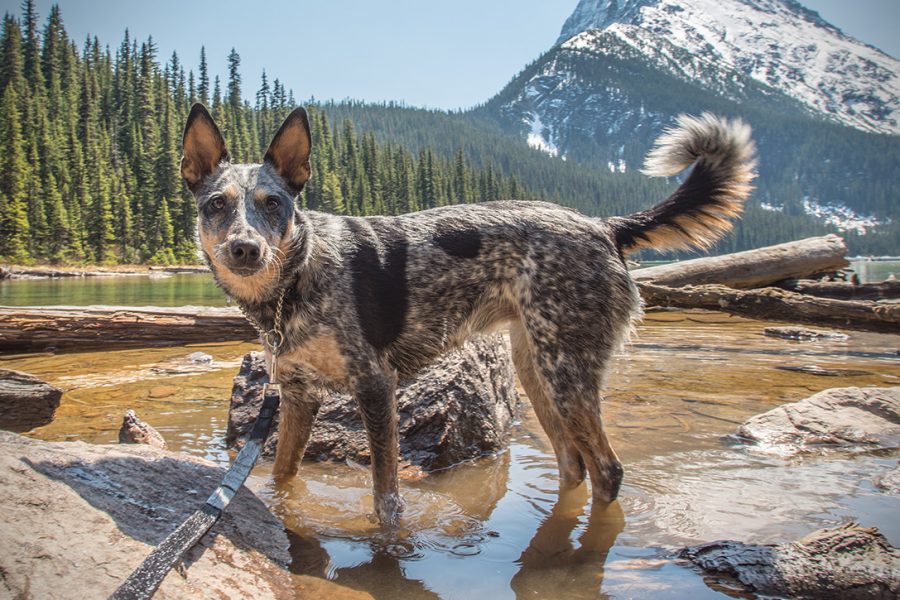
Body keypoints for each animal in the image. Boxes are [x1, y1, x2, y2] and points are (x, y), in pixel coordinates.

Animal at [179, 104, 756, 524]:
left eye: (273, 203)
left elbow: (386, 497)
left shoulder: (375, 387)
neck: (298, 279)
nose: (245, 249)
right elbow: (282, 476)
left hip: (566, 374)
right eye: (216, 205)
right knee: (573, 465)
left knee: (608, 470)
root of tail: (604, 225)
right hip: (537, 370)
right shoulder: (299, 396)